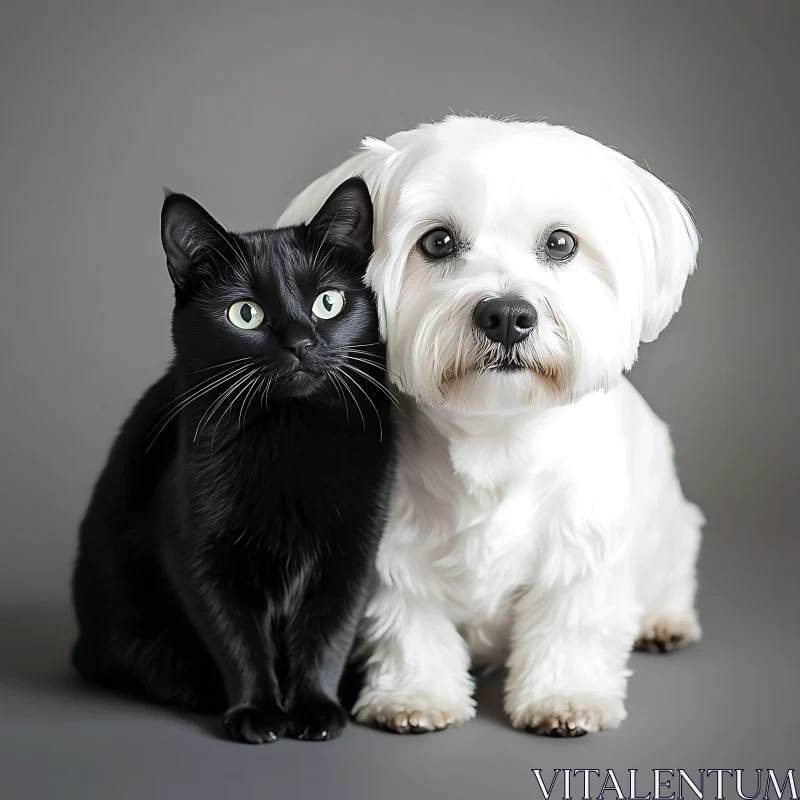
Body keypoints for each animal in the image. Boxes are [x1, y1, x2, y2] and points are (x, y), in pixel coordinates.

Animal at [70, 177, 396, 744]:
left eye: (328, 302)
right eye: (246, 313)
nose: (301, 342)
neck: (289, 434)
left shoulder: (354, 552)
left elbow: (328, 631)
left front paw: (315, 708)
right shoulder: (195, 551)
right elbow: (236, 638)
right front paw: (258, 711)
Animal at [278, 115, 704, 736]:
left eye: (560, 243)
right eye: (437, 241)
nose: (506, 314)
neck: (498, 435)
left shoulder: (584, 547)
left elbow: (572, 621)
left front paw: (564, 696)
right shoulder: (396, 552)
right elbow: (410, 622)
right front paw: (416, 695)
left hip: (667, 526)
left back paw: (666, 620)